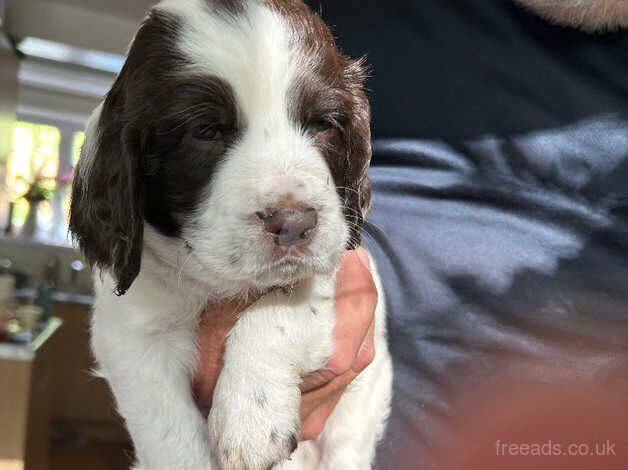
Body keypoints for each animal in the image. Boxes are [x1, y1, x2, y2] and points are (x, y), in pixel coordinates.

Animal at [70, 0, 392, 470]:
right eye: (206, 131)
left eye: (323, 124)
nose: (295, 224)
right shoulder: (130, 337)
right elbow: (169, 434)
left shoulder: (341, 273)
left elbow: (281, 306)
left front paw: (252, 418)